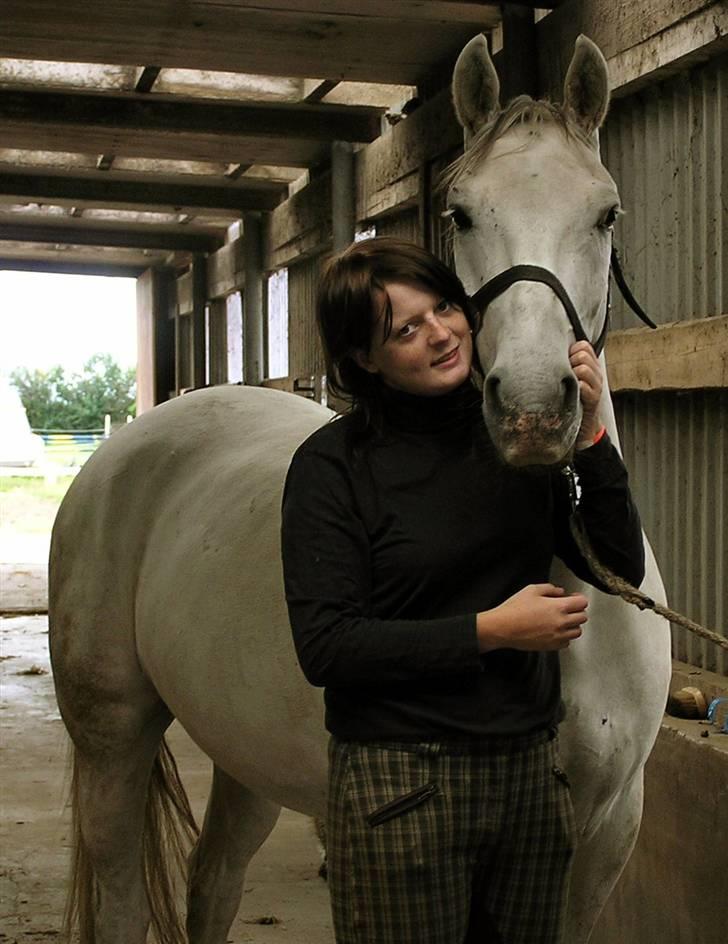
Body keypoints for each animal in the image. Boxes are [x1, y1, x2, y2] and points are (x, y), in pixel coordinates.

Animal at [49, 33, 672, 944]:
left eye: (607, 213)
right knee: (125, 888)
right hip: (110, 739)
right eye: (460, 212)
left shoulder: (603, 840)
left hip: (243, 753)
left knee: (212, 880)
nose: (531, 409)